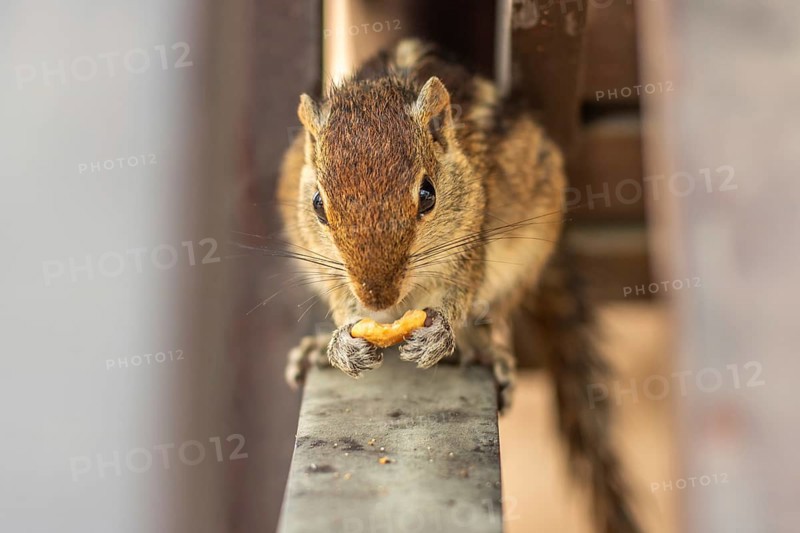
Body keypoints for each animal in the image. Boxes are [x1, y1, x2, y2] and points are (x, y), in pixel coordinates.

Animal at [276, 39, 641, 533]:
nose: (377, 298)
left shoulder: (471, 242)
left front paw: (441, 334)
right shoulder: (329, 268)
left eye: (427, 195)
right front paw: (342, 343)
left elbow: (461, 291)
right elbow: (340, 301)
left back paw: (482, 350)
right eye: (317, 203)